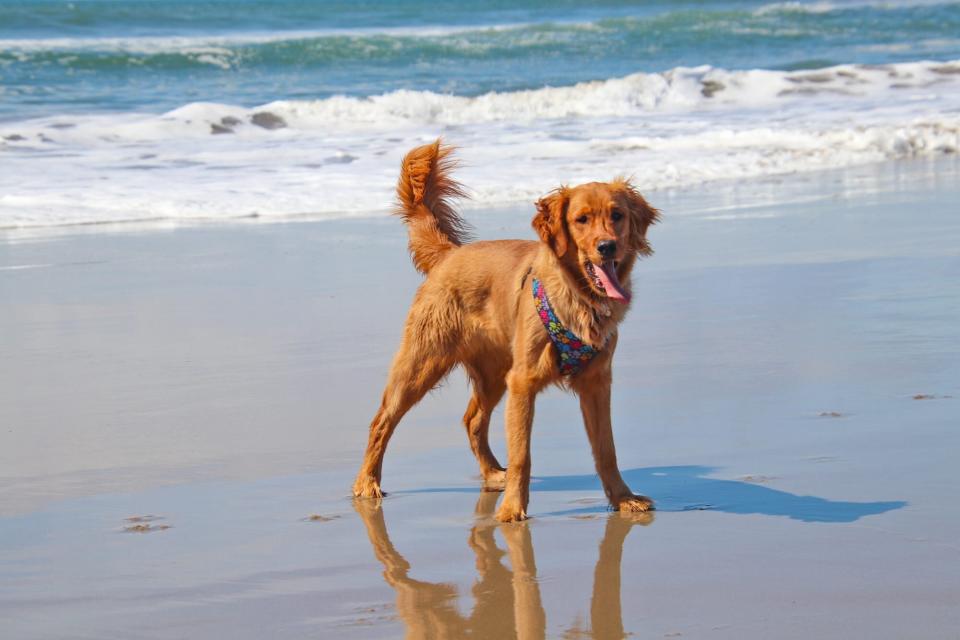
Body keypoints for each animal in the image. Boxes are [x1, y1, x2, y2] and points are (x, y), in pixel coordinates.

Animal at [352, 139, 660, 520]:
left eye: (617, 215)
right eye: (581, 220)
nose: (607, 246)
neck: (577, 297)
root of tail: (449, 255)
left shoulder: (597, 382)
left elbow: (607, 450)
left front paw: (622, 498)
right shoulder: (523, 382)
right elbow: (522, 455)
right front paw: (513, 509)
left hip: (493, 372)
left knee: (472, 420)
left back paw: (491, 474)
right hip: (423, 362)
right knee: (381, 421)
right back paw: (367, 482)